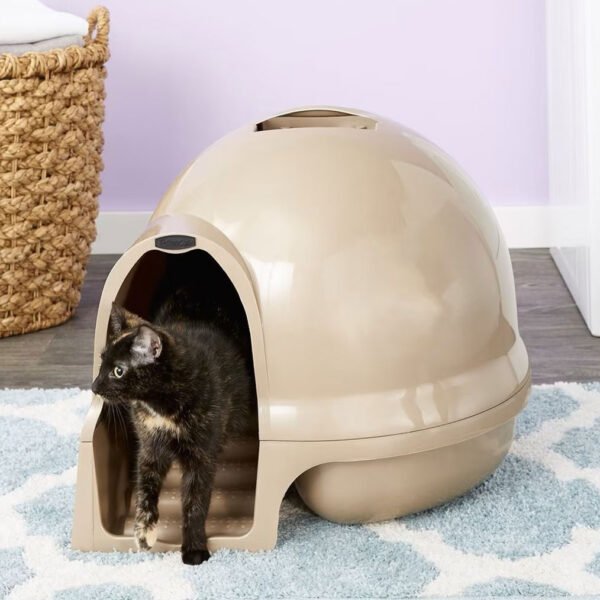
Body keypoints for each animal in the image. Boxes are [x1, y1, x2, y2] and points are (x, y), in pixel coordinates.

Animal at [91, 288, 255, 564]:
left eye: (118, 371)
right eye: (102, 362)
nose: (94, 386)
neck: (162, 409)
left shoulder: (202, 456)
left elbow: (195, 502)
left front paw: (194, 549)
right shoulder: (150, 447)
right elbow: (145, 489)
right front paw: (144, 533)